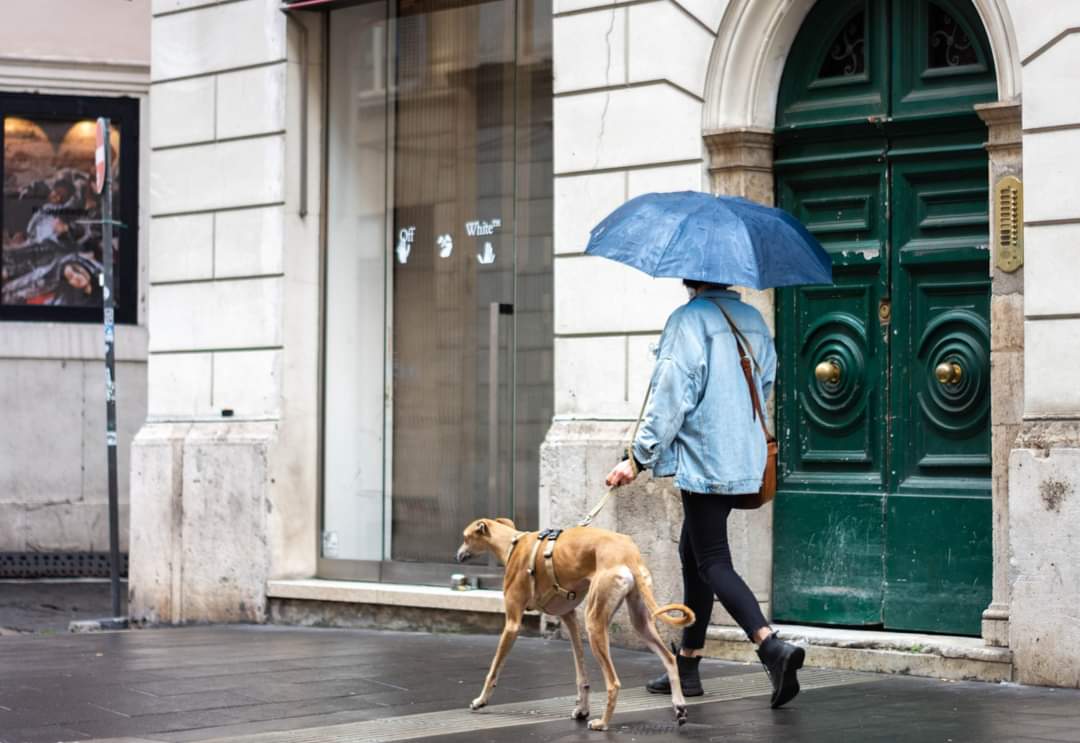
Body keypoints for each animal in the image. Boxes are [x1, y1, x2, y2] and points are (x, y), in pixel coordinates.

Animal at [453, 516, 691, 730]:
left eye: (465, 537)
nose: (458, 555)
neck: (512, 544)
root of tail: (628, 552)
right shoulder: (569, 618)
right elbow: (580, 671)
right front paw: (581, 709)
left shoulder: (512, 623)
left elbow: (493, 669)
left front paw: (480, 701)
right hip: (639, 621)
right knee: (670, 658)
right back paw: (679, 706)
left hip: (594, 623)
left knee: (613, 682)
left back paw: (603, 723)